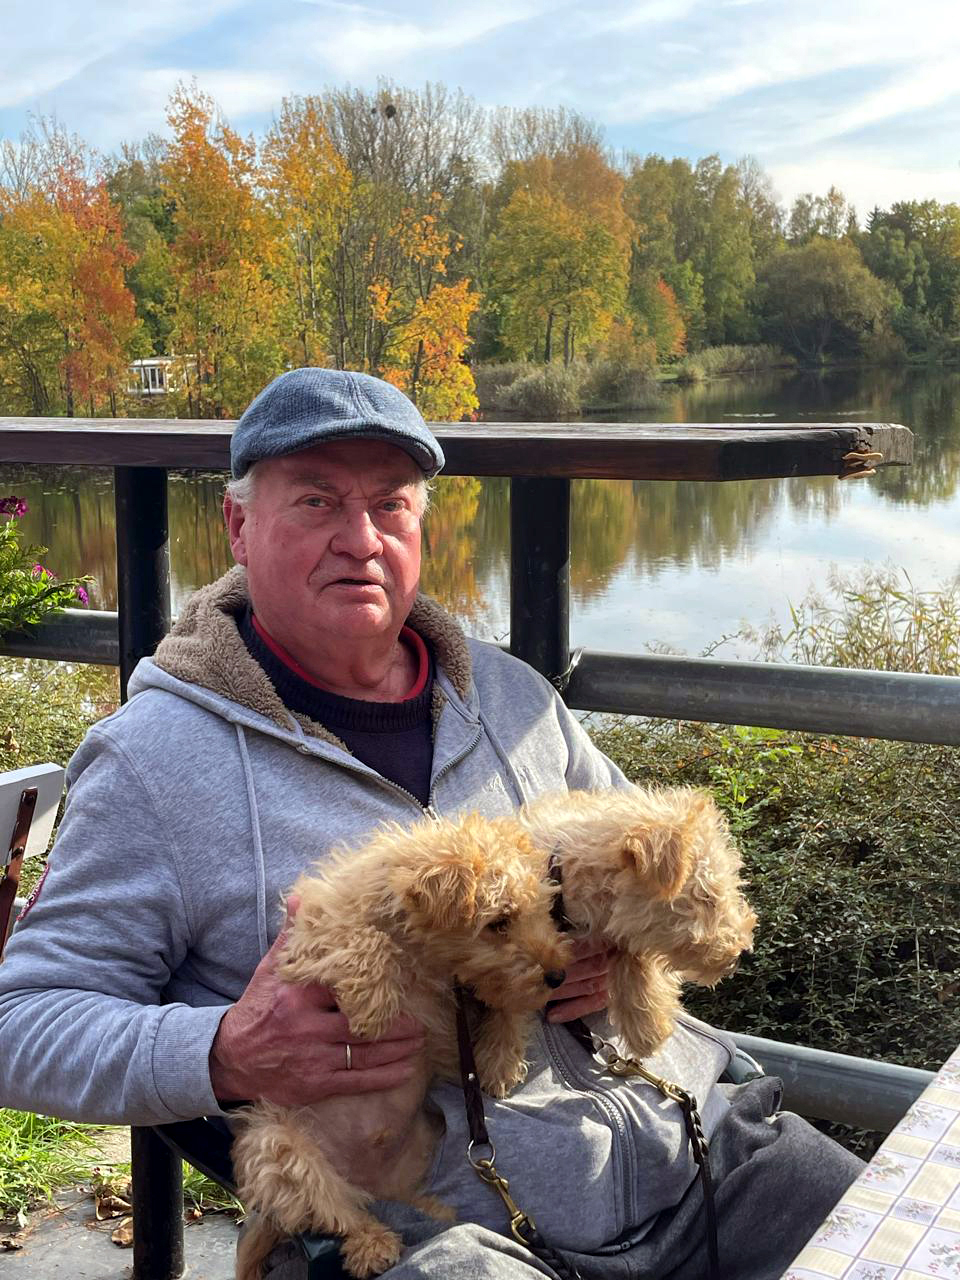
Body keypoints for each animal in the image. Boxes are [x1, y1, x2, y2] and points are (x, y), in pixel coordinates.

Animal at [232, 811, 571, 1280]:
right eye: (500, 921)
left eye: (545, 913)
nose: (559, 975)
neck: (420, 953)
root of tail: (366, 1177)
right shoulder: (309, 939)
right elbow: (361, 939)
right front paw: (373, 1005)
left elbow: (504, 1004)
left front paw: (499, 1062)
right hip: (277, 1150)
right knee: (337, 1212)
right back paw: (373, 1245)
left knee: (380, 1202)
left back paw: (442, 1212)